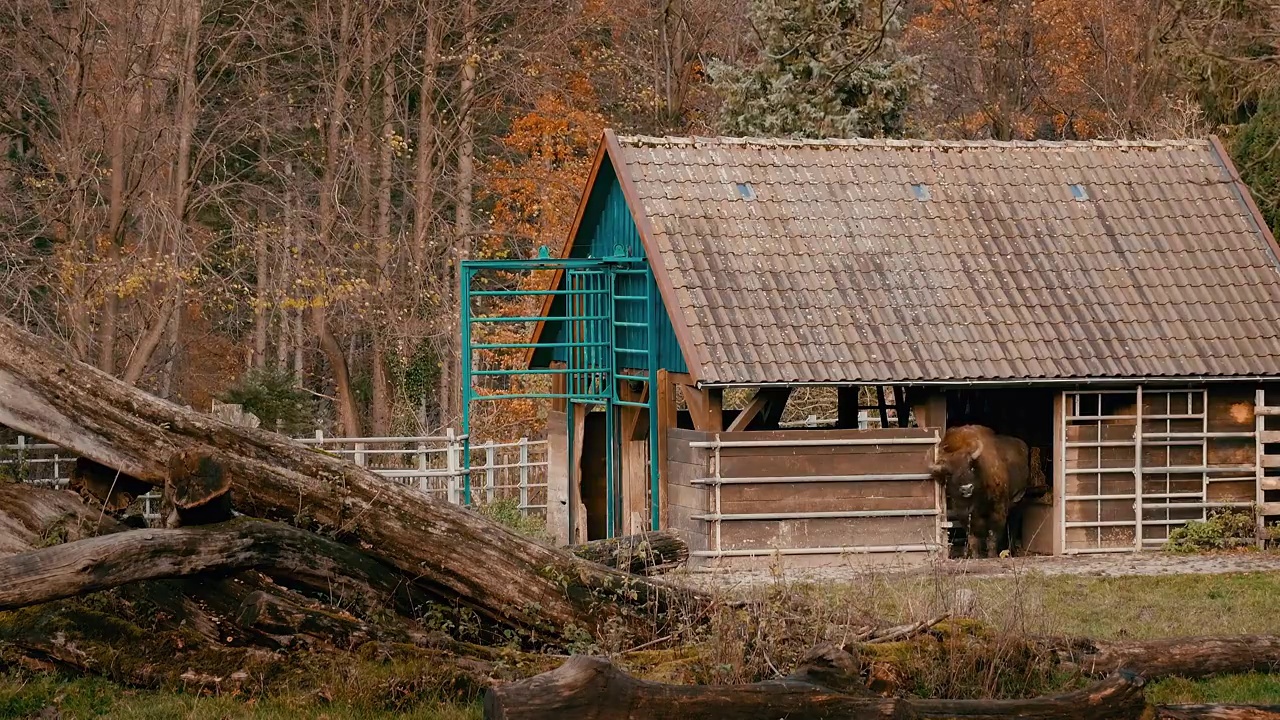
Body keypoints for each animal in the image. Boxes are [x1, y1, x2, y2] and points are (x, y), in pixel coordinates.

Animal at [936, 422, 1034, 558]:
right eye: (949, 474)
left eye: (971, 467)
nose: (966, 489)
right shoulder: (964, 514)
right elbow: (972, 537)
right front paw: (975, 556)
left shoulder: (997, 510)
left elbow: (992, 535)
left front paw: (992, 555)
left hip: (1018, 502)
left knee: (1013, 525)